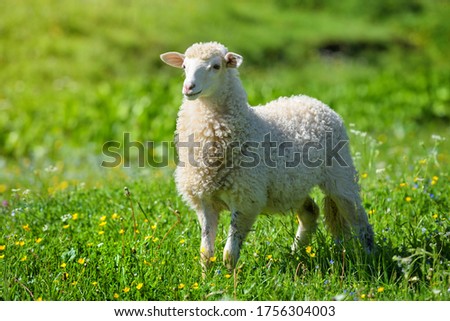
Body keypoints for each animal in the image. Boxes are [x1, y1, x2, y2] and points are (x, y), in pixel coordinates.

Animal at [160, 41, 374, 268]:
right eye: (184, 66)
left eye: (216, 66)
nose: (188, 88)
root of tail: (312, 101)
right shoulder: (204, 200)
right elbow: (206, 253)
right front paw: (207, 276)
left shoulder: (246, 198)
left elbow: (229, 254)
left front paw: (229, 276)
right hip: (291, 187)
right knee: (310, 212)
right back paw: (296, 253)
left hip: (340, 175)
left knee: (360, 222)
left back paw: (370, 258)